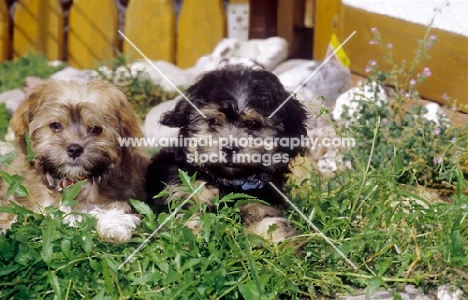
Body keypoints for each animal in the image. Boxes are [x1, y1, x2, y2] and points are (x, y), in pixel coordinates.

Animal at [0, 79, 149, 244]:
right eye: (55, 125)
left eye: (96, 129)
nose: (74, 149)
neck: (72, 182)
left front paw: (114, 227)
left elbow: (116, 207)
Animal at [146, 67, 308, 241]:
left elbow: (270, 223)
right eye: (213, 121)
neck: (228, 181)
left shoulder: (261, 203)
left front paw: (284, 241)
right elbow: (188, 215)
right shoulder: (185, 190)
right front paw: (190, 236)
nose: (229, 149)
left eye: (255, 124)